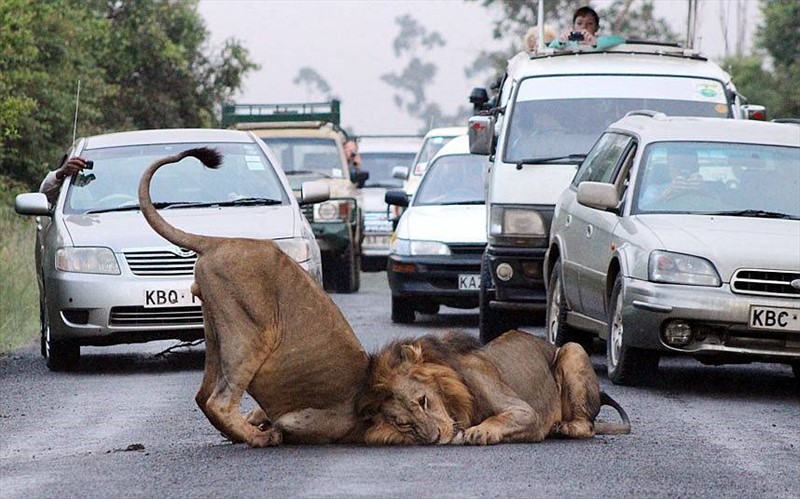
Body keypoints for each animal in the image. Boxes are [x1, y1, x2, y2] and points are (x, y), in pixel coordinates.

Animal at [139, 148, 370, 450]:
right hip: (251, 333)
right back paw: (261, 437)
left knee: (203, 395)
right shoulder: (320, 420)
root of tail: (219, 241)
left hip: (215, 328)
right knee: (219, 401)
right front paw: (271, 430)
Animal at [360, 330, 628, 448]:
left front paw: (481, 432)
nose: (435, 438)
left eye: (423, 400)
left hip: (573, 348)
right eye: (404, 423)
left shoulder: (527, 413)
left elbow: (503, 418)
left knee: (588, 427)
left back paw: (563, 428)